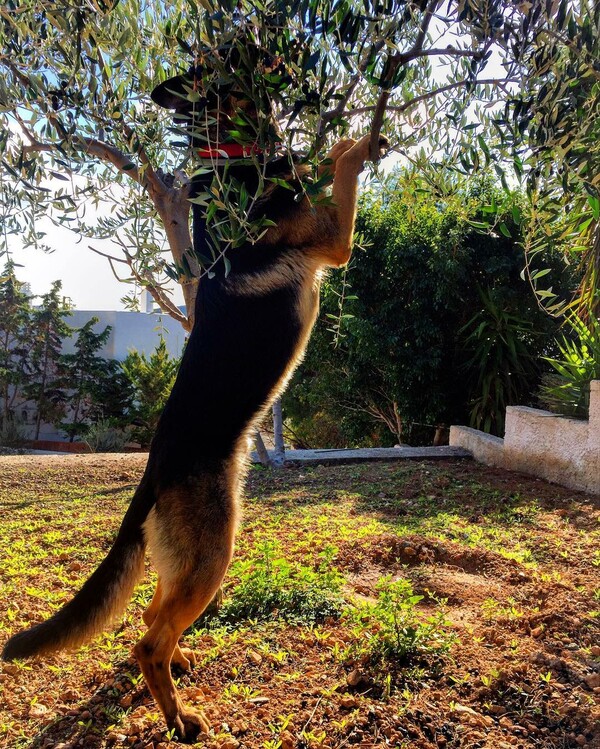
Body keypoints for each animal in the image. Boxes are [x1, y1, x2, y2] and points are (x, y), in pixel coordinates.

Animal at [2, 65, 390, 744]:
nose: (281, 67)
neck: (229, 156)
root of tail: (153, 473)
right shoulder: (332, 240)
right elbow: (340, 172)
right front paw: (355, 143)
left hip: (193, 557)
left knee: (151, 617)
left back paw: (181, 663)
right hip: (214, 554)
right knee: (146, 642)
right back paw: (180, 717)